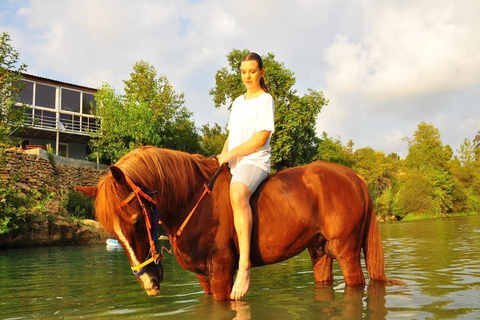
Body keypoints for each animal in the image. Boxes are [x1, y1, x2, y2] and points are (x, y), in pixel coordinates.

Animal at [76, 146, 404, 300]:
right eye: (112, 232)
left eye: (135, 221)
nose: (148, 282)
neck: (194, 201)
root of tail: (354, 177)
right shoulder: (203, 277)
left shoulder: (221, 272)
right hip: (320, 251)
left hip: (346, 251)